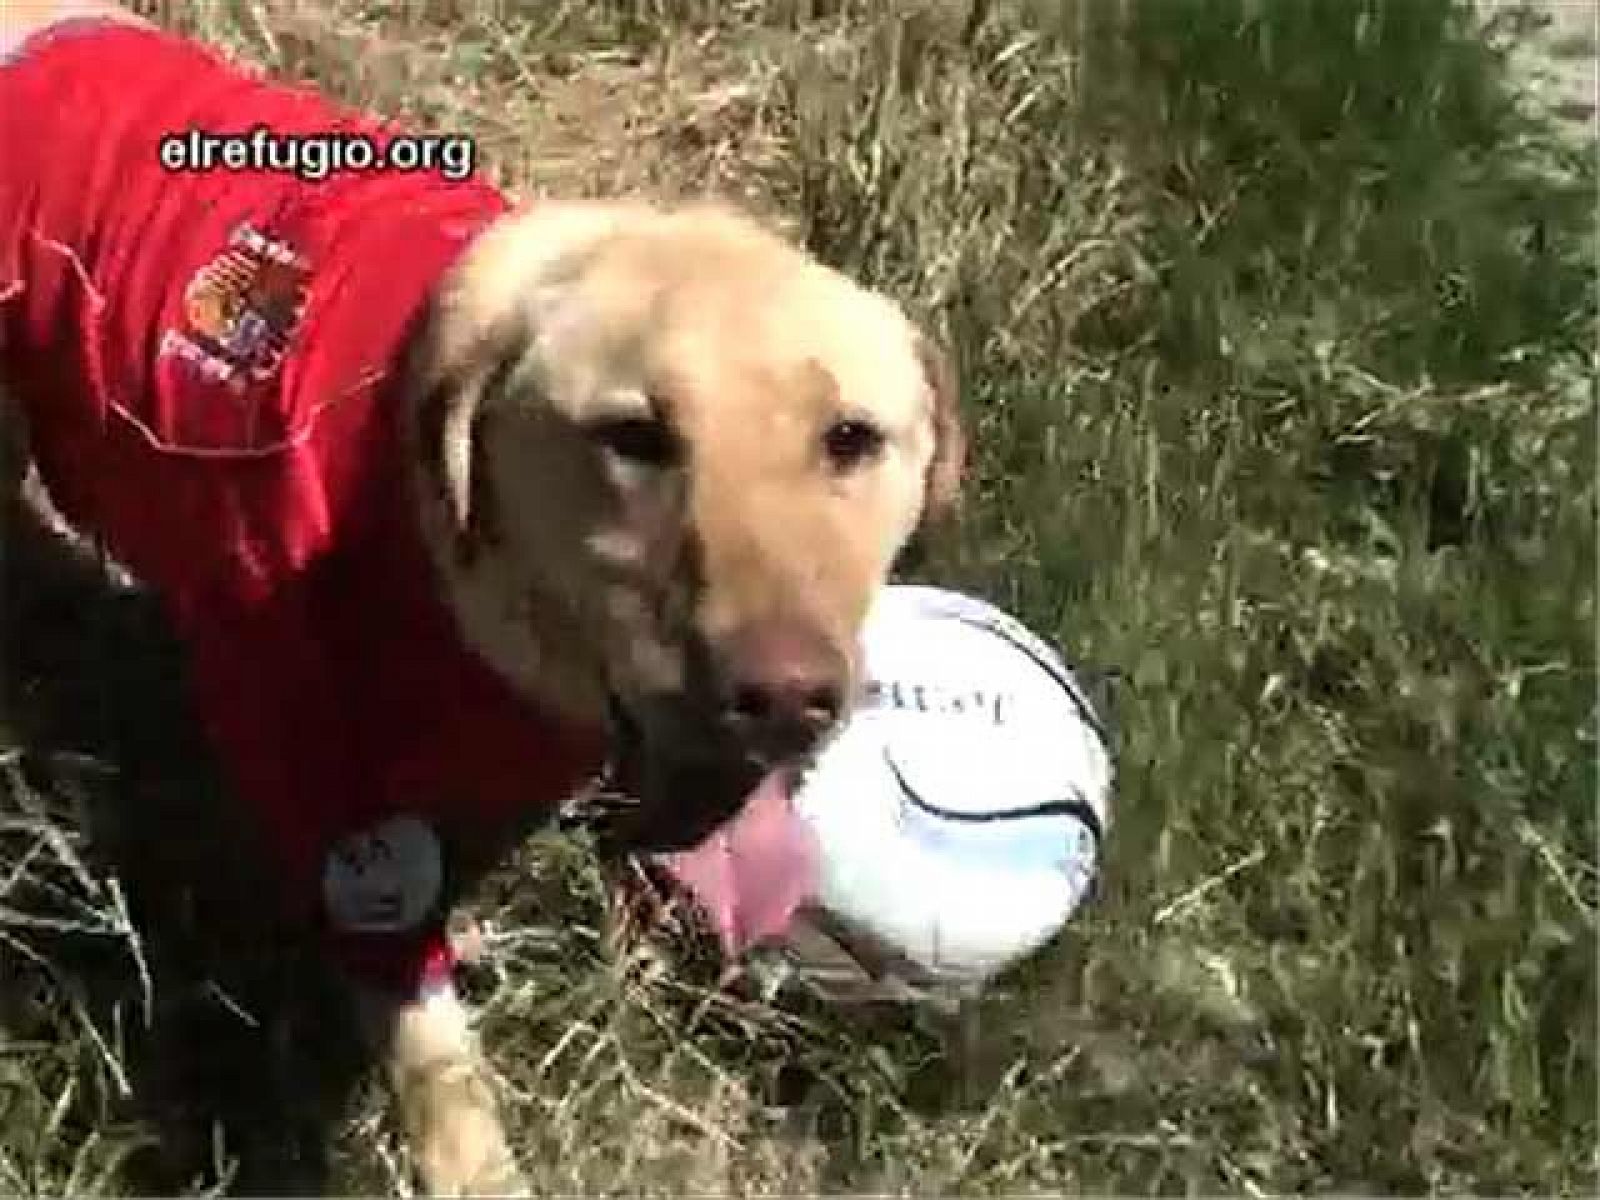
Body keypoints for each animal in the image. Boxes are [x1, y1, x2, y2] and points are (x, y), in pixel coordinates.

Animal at [0, 4, 960, 1196]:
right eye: (633, 436)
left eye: (852, 439)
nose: (783, 699)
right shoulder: (323, 767)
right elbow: (420, 1013)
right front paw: (468, 1157)